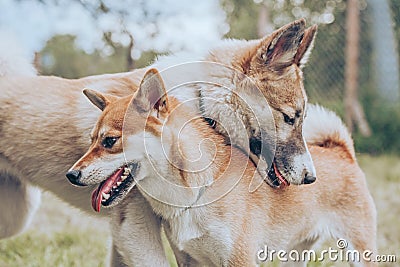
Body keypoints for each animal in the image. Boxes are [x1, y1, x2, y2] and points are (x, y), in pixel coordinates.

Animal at [69, 69, 378, 267]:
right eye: (91, 140)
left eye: (109, 141)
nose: (71, 174)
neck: (196, 191)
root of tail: (342, 152)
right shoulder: (190, 261)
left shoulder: (239, 259)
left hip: (359, 252)